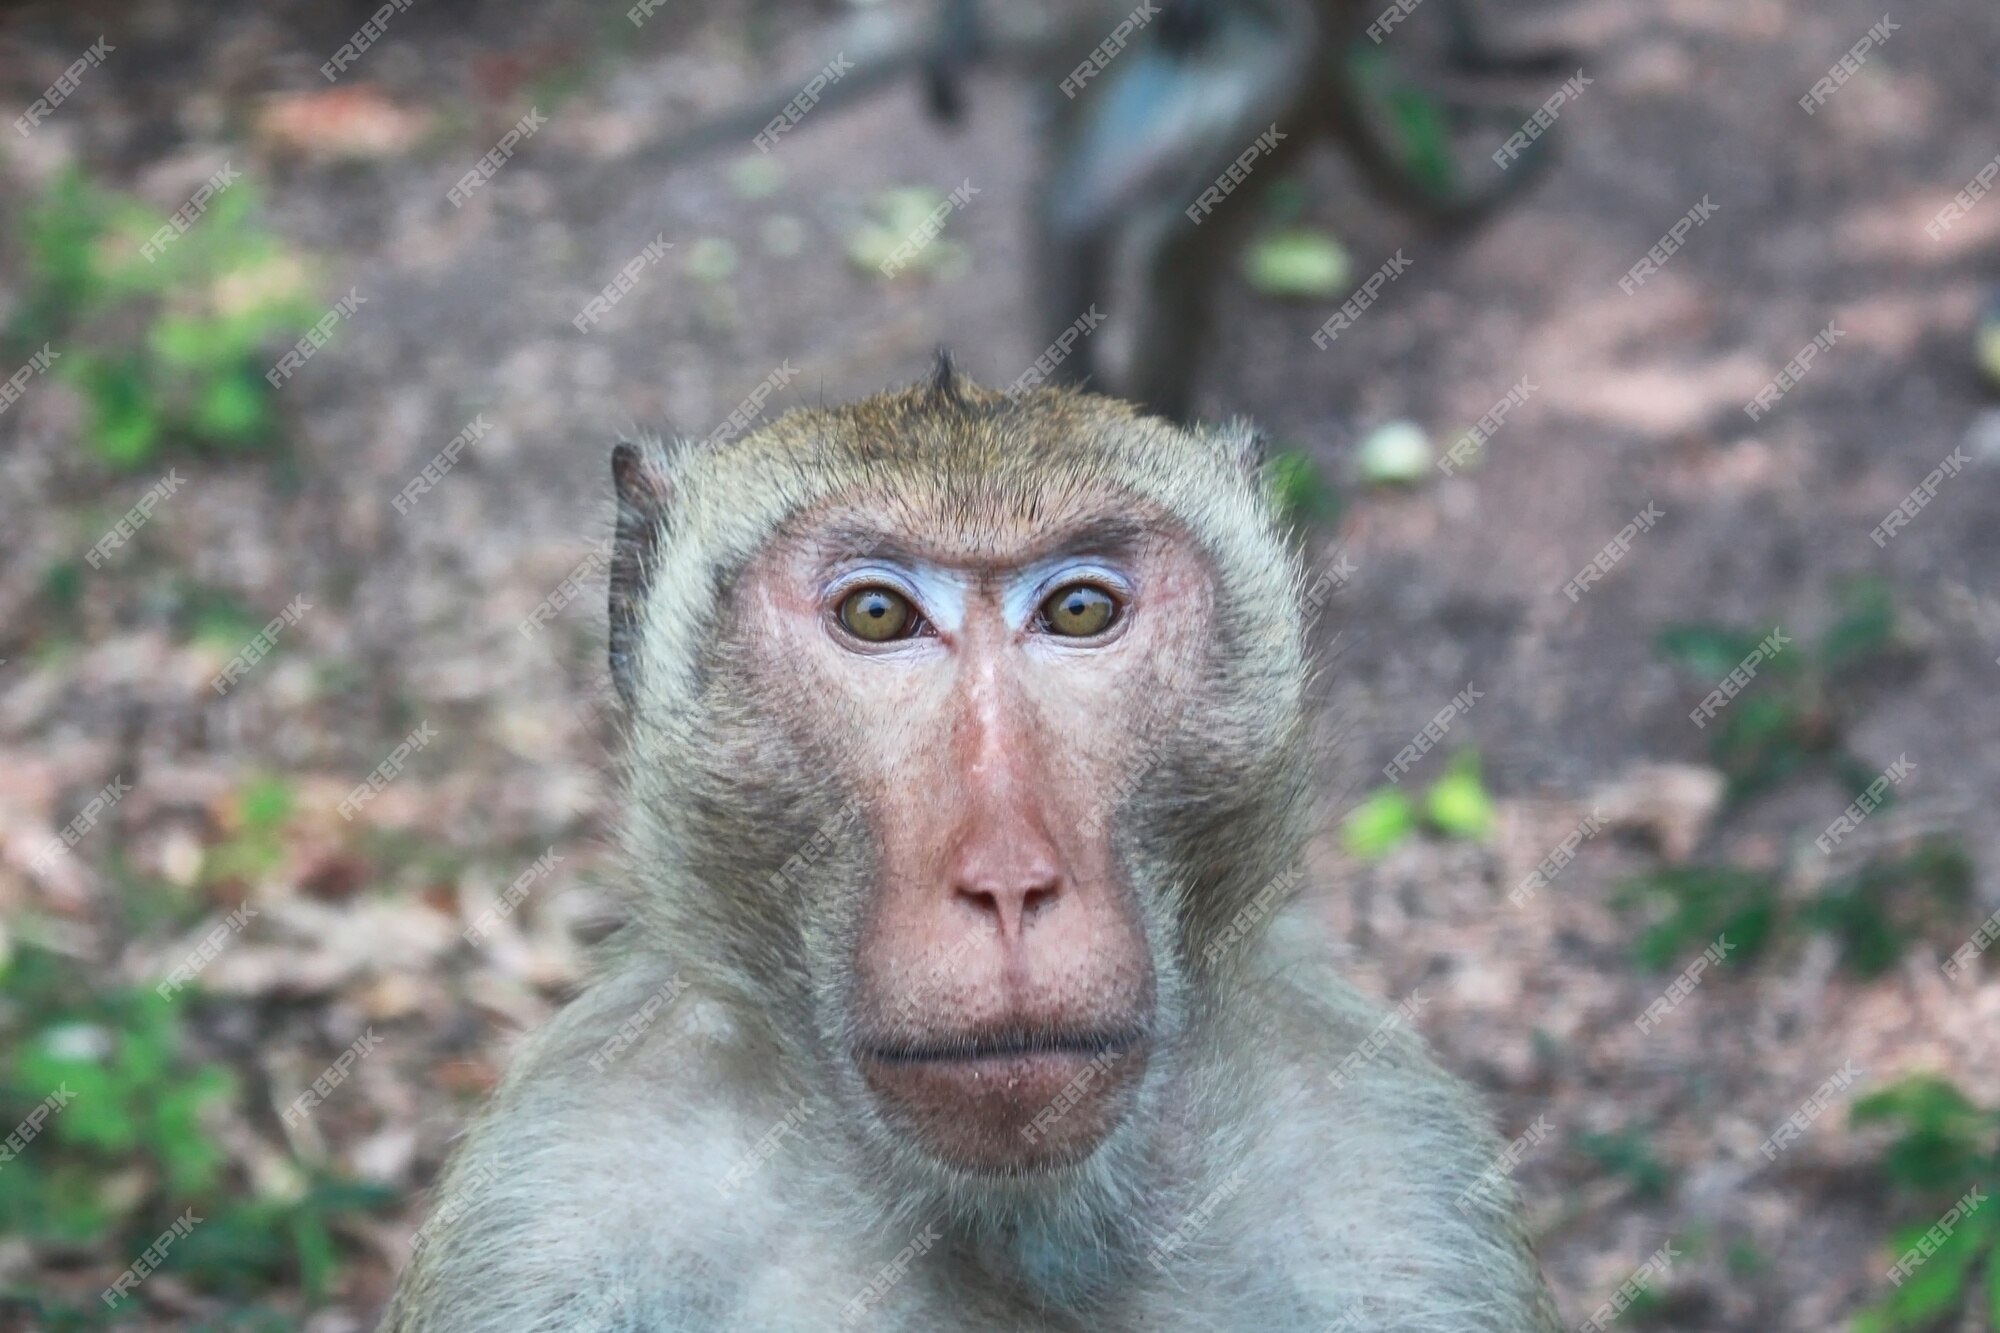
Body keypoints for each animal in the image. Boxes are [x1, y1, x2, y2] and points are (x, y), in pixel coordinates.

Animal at [378, 356, 1560, 1328]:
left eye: (1080, 610)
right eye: (876, 615)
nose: (1007, 882)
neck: (1013, 1219)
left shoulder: (1404, 1195)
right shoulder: (552, 1208)